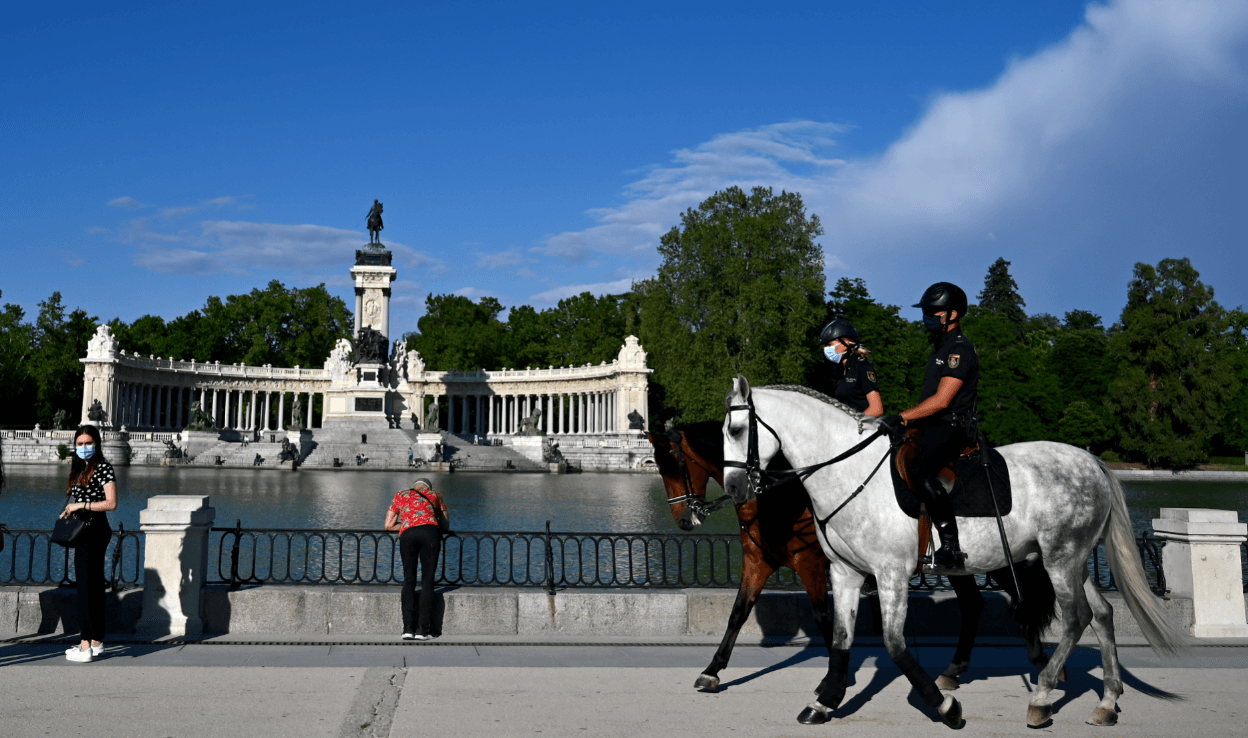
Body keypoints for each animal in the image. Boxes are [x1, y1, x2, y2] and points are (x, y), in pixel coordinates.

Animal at [648, 422, 1058, 694]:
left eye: (671, 464)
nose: (683, 520)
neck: (777, 497)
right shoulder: (758, 563)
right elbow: (738, 614)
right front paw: (713, 669)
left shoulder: (811, 564)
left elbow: (822, 617)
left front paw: (837, 676)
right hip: (961, 563)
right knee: (979, 602)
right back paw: (968, 668)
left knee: (1019, 595)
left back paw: (1038, 659)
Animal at [723, 377, 1188, 729]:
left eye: (736, 431)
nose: (733, 488)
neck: (849, 473)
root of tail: (1092, 462)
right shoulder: (845, 572)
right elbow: (841, 639)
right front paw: (825, 701)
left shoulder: (891, 573)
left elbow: (895, 646)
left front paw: (946, 708)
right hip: (1074, 561)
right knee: (1102, 615)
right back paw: (1106, 701)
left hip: (1060, 557)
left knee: (1076, 618)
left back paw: (1041, 696)